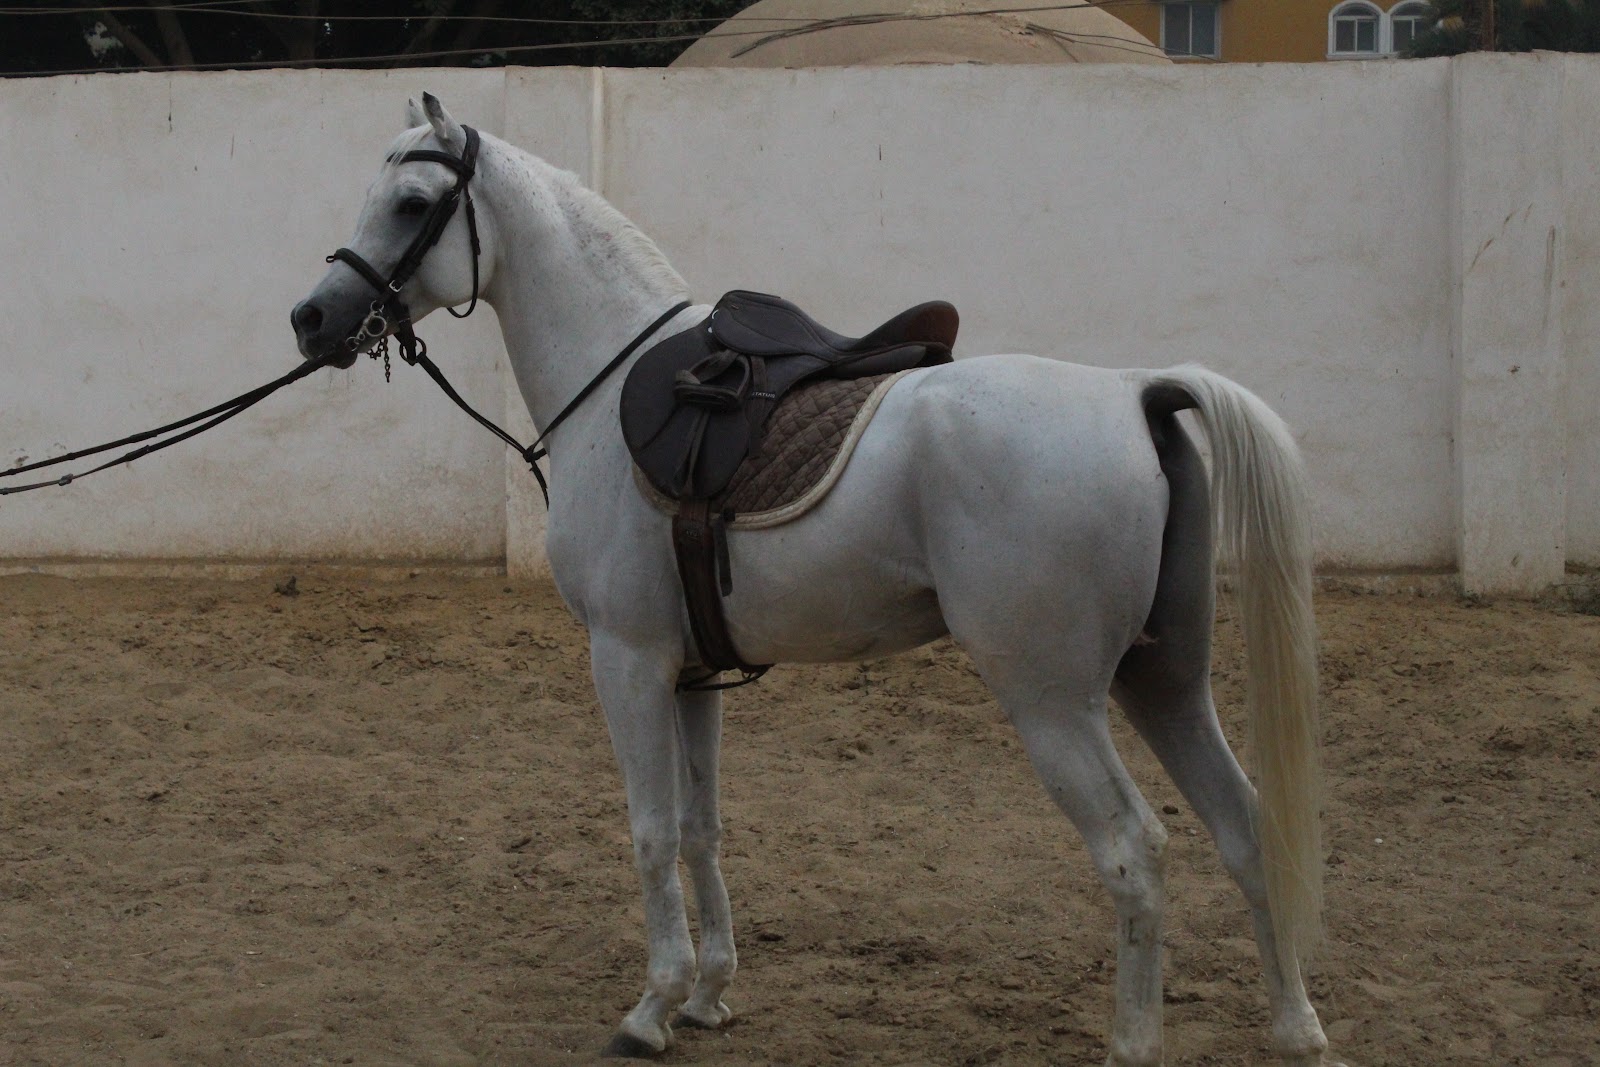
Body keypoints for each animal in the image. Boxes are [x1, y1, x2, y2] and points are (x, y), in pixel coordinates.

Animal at [291, 93, 1343, 1067]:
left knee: (1135, 852)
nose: (313, 319)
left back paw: (1134, 1040)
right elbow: (699, 827)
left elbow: (648, 829)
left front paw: (649, 1008)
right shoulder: (691, 675)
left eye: (412, 202)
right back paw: (1296, 1025)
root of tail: (1135, 393)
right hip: (1163, 680)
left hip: (1054, 699)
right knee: (1247, 826)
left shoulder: (627, 662)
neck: (612, 381)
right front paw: (707, 994)